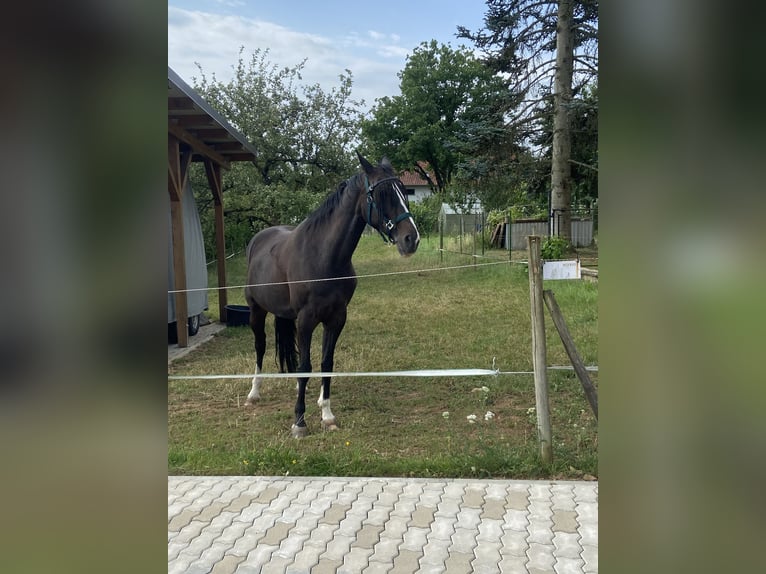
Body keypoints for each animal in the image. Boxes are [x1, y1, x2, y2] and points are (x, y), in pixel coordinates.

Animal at [243, 153, 420, 437]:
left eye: (404, 192)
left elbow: (326, 362)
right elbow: (306, 367)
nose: (411, 239)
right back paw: (253, 393)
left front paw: (326, 414)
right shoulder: (306, 319)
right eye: (381, 194)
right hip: (256, 311)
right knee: (260, 347)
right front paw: (299, 422)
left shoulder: (336, 318)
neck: (324, 257)